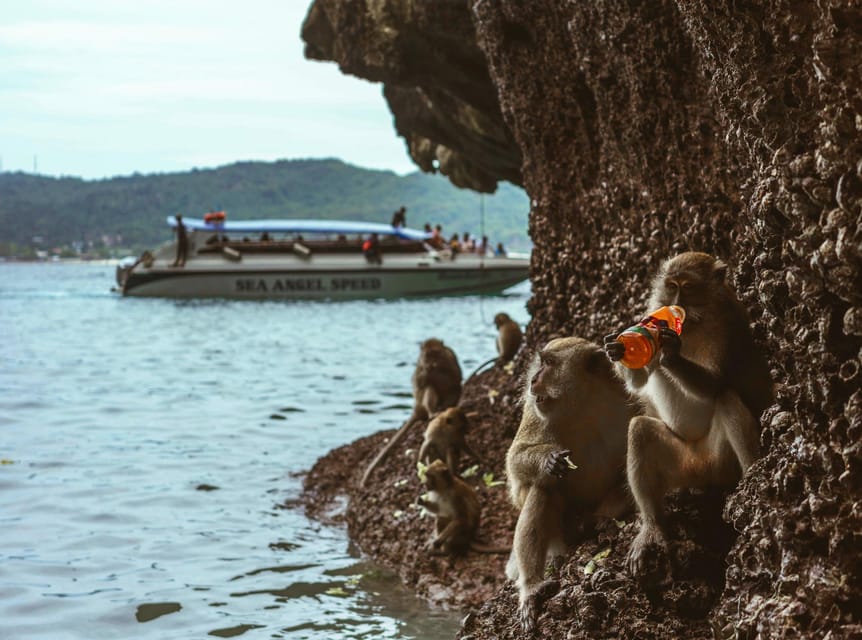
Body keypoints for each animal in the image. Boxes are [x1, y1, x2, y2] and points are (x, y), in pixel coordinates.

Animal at [360, 340, 462, 484]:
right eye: (427, 356)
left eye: (435, 354)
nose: (431, 363)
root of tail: (418, 407)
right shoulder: (420, 365)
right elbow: (420, 382)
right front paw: (427, 372)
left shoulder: (450, 357)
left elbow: (456, 376)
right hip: (422, 402)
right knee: (429, 387)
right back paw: (432, 412)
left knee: (455, 388)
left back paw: (446, 408)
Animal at [506, 338, 636, 632]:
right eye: (541, 362)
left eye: (548, 363)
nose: (533, 379)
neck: (583, 404)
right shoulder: (535, 411)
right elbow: (516, 462)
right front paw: (548, 460)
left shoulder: (626, 397)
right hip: (558, 534)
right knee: (543, 489)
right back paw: (532, 587)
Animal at [604, 251, 780, 580]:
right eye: (672, 286)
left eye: (687, 287)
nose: (676, 303)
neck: (693, 324)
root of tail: (701, 470)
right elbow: (640, 380)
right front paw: (618, 346)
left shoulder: (727, 325)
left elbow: (714, 384)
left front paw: (670, 349)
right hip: (680, 464)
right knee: (640, 430)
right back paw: (653, 527)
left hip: (721, 461)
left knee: (726, 398)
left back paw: (751, 478)